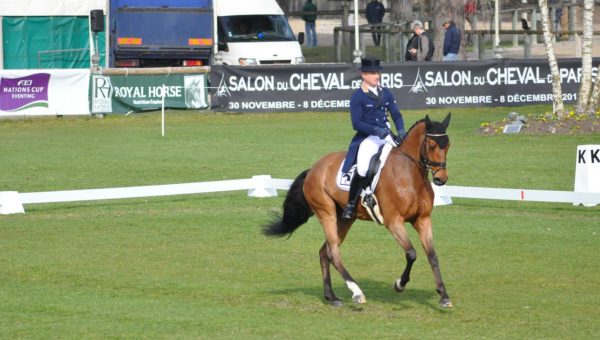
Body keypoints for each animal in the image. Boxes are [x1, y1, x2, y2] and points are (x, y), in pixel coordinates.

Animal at [264, 114, 452, 308]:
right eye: (432, 145)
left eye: (448, 145)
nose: (441, 179)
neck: (410, 174)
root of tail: (313, 169)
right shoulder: (393, 222)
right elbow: (411, 253)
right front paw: (399, 284)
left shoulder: (423, 219)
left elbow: (432, 255)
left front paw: (444, 295)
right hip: (326, 213)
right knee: (333, 252)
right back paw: (356, 292)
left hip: (345, 219)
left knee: (325, 252)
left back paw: (331, 296)